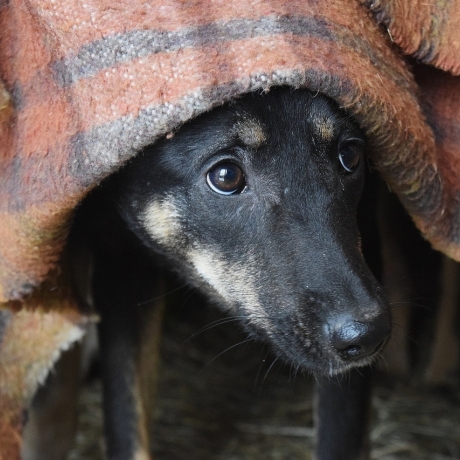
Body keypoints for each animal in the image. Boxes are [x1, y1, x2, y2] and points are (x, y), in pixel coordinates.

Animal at [32, 87, 390, 460]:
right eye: (226, 176)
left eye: (350, 154)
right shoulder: (121, 264)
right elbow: (126, 424)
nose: (368, 335)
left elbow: (340, 431)